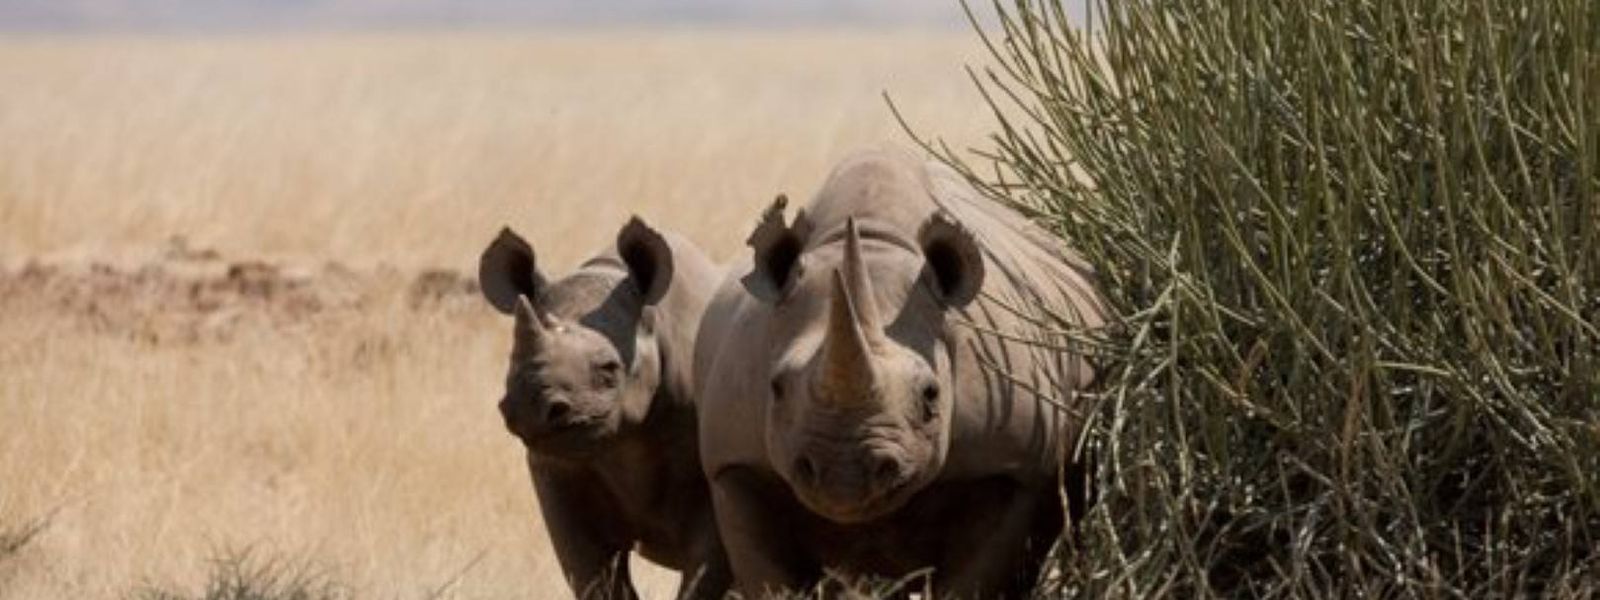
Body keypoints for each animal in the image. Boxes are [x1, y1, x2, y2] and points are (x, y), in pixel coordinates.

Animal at [478, 217, 729, 599]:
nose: (533, 409)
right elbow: (594, 575)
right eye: (513, 362)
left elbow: (706, 574)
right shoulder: (559, 470)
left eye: (609, 368)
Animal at [694, 147, 1105, 597]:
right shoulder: (736, 465)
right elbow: (773, 579)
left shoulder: (1006, 468)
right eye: (777, 388)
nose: (844, 475)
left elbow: (972, 581)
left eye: (931, 394)